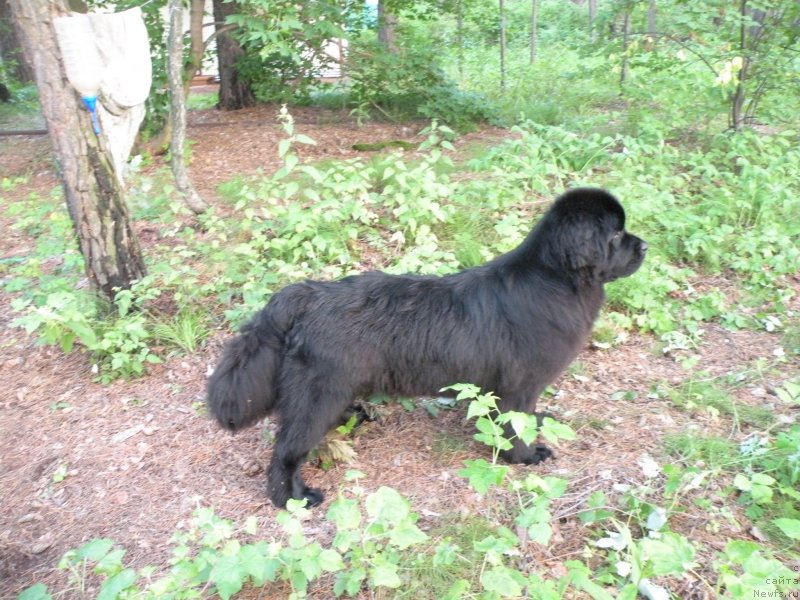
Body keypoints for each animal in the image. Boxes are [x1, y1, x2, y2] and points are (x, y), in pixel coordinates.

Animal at [206, 188, 644, 506]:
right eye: (616, 234)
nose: (645, 247)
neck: (555, 280)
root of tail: (304, 295)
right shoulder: (519, 384)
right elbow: (513, 425)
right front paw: (526, 456)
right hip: (318, 392)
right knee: (286, 450)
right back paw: (293, 498)